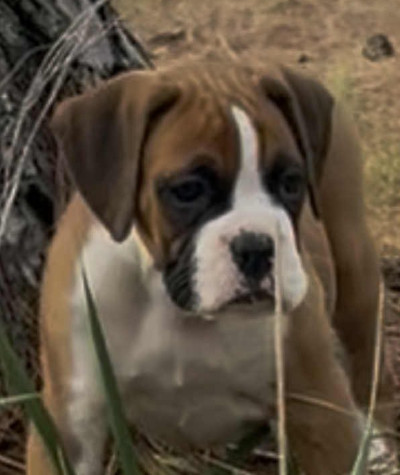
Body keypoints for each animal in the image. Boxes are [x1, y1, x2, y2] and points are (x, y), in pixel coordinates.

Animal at [26, 59, 394, 475]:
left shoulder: (317, 409)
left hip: (355, 271)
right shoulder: (71, 420)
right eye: (188, 190)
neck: (173, 306)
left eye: (291, 183)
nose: (256, 246)